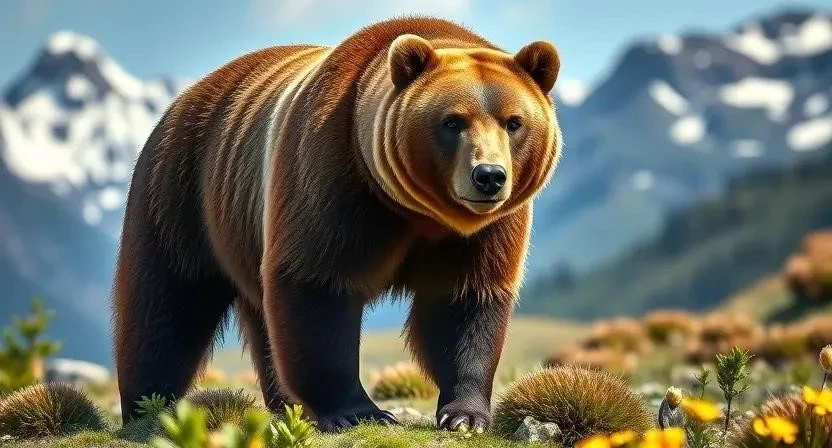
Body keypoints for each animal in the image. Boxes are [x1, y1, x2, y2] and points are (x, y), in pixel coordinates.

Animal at [112, 16, 562, 433]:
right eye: (452, 121)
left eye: (513, 122)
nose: (488, 176)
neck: (418, 212)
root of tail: (185, 96)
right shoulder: (332, 173)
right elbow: (316, 287)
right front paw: (358, 412)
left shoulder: (485, 231)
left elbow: (464, 301)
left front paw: (465, 415)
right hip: (181, 193)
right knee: (166, 301)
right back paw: (148, 404)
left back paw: (283, 403)